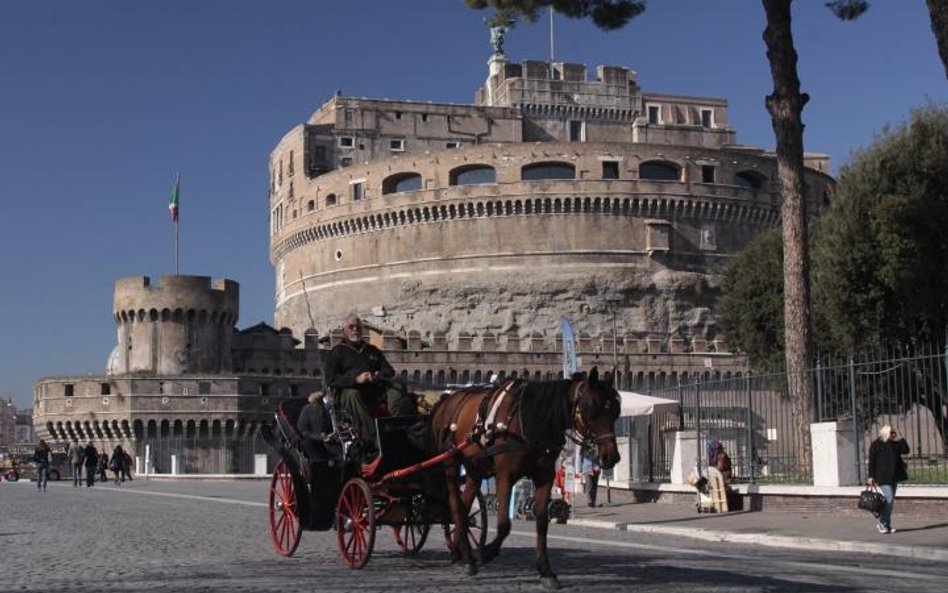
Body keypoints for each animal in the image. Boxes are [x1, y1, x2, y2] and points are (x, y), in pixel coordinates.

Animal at [430, 366, 624, 588]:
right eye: (592, 408)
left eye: (615, 411)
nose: (611, 456)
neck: (530, 421)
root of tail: (446, 399)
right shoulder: (505, 476)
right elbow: (504, 524)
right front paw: (486, 552)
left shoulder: (545, 476)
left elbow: (542, 522)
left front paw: (546, 571)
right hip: (451, 462)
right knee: (456, 504)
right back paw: (469, 557)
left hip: (474, 467)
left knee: (464, 504)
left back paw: (461, 554)